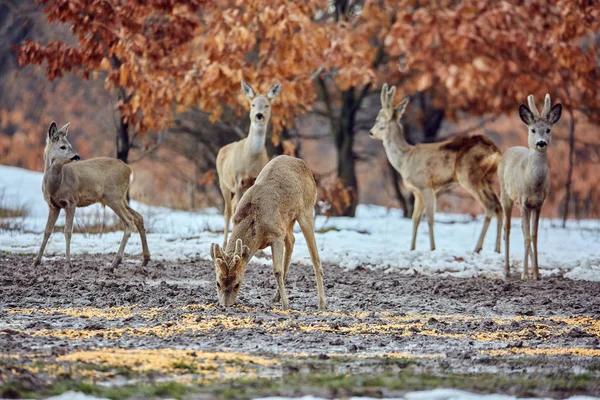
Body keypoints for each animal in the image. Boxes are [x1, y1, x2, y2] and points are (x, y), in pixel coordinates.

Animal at [32, 122, 150, 272]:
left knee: (129, 221)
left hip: (113, 196)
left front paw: (68, 263)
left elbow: (68, 231)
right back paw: (145, 260)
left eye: (70, 144)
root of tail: (130, 170)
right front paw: (36, 262)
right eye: (63, 146)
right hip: (121, 197)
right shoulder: (53, 205)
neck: (56, 185)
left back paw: (114, 263)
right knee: (138, 217)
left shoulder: (72, 200)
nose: (77, 156)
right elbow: (47, 231)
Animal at [209, 155, 326, 310]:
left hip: (306, 210)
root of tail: (302, 163)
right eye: (218, 283)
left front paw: (286, 305)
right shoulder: (279, 230)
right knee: (292, 240)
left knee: (315, 257)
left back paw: (322, 303)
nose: (225, 305)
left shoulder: (276, 235)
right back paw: (276, 296)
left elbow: (276, 270)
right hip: (287, 222)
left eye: (237, 285)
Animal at [216, 80, 282, 248]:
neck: (250, 160)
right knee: (227, 211)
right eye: (252, 104)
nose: (259, 115)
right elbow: (234, 212)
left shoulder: (253, 181)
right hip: (223, 183)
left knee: (233, 206)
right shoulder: (238, 180)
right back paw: (224, 242)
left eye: (267, 105)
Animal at [370, 84, 502, 253]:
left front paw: (433, 248)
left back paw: (477, 248)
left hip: (469, 176)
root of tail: (495, 150)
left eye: (378, 119)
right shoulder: (417, 192)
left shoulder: (426, 185)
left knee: (490, 206)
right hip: (487, 178)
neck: (405, 159)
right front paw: (412, 248)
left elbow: (430, 218)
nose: (371, 132)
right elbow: (415, 219)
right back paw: (497, 249)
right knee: (498, 206)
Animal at [496, 95, 564, 280]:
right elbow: (527, 237)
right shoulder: (524, 201)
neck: (533, 184)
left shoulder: (538, 204)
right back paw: (507, 271)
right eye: (533, 130)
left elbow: (534, 236)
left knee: (521, 229)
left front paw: (537, 273)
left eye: (548, 130)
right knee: (507, 229)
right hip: (505, 195)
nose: (541, 143)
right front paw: (525, 274)